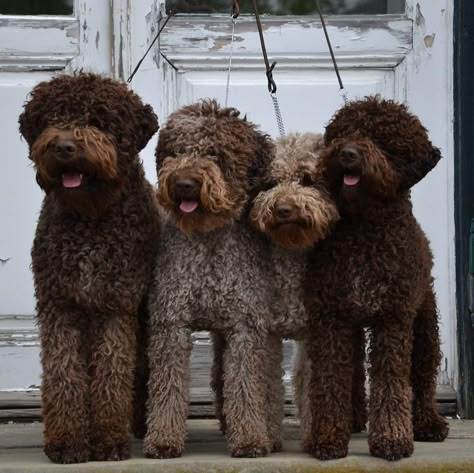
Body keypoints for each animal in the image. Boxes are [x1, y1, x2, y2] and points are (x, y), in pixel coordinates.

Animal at [19, 73, 159, 460]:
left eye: (98, 121)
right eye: (52, 117)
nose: (65, 147)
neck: (91, 218)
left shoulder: (115, 303)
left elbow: (112, 372)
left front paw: (109, 439)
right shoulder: (60, 303)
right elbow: (63, 372)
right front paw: (67, 441)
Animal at [144, 98, 274, 458]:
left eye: (216, 154)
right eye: (177, 151)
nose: (184, 184)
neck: (208, 239)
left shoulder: (244, 326)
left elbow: (243, 385)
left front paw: (250, 439)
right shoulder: (171, 322)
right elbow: (168, 387)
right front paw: (163, 439)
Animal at [250, 133, 368, 450]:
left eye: (307, 179)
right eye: (271, 183)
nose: (283, 209)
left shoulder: (319, 331)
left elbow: (316, 384)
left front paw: (317, 436)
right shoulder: (267, 332)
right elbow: (268, 385)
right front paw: (269, 437)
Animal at [304, 96, 448, 460]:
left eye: (384, 140)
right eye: (346, 130)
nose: (348, 153)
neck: (365, 229)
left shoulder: (393, 318)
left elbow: (390, 379)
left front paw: (392, 440)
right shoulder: (332, 317)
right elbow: (331, 378)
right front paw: (329, 437)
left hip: (425, 323)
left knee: (423, 376)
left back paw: (428, 423)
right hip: (355, 327)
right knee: (354, 371)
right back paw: (355, 417)